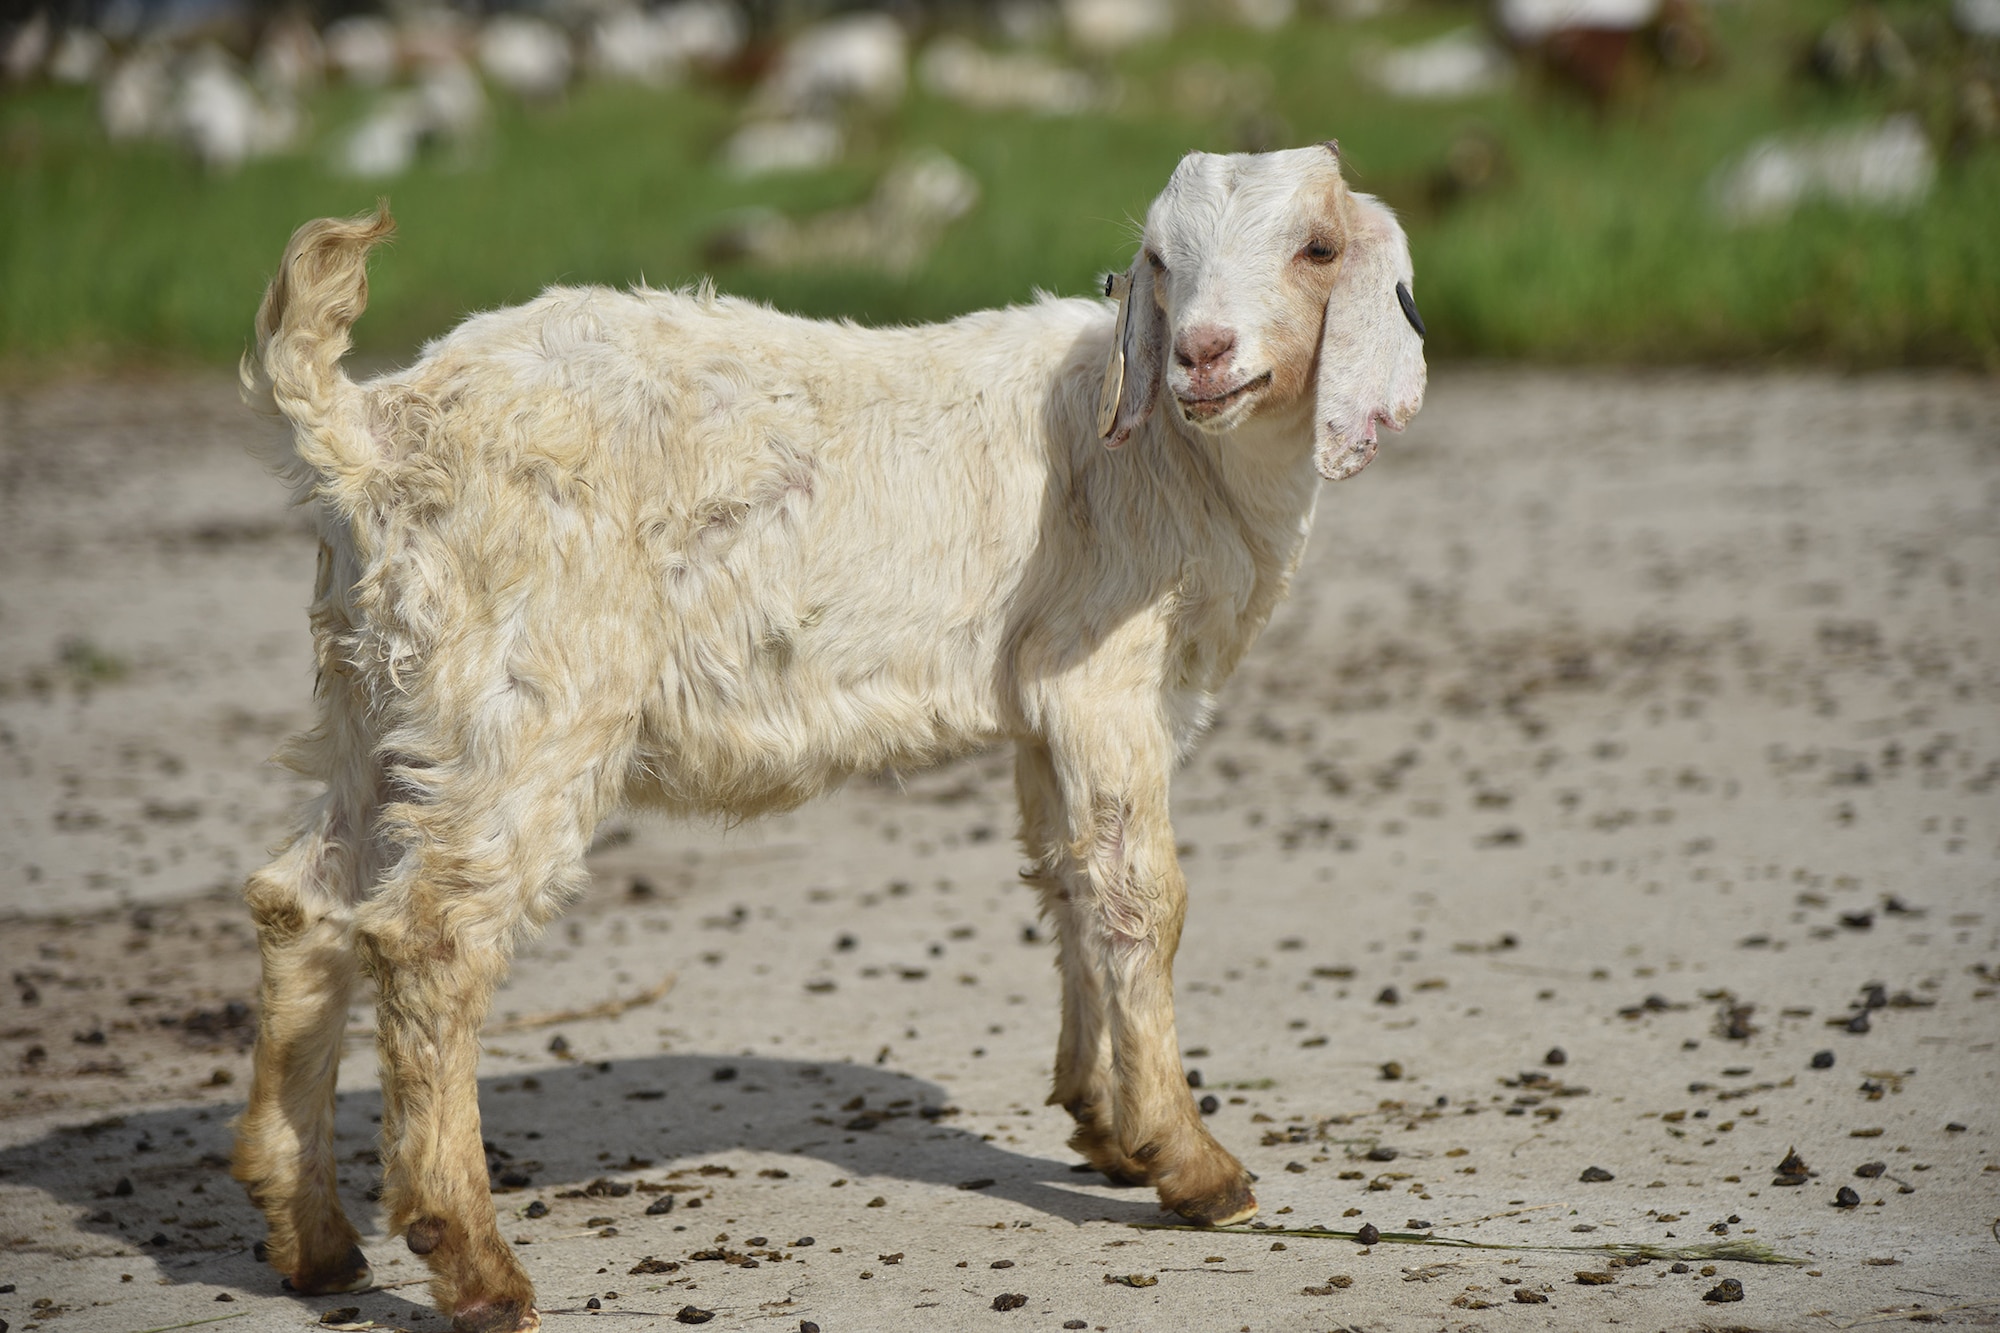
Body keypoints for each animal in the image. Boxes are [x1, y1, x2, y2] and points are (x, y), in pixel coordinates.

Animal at [234, 145, 1424, 1328]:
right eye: (1162, 260)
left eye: (1318, 248)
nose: (1200, 354)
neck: (1181, 455)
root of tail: (367, 435)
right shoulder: (1105, 677)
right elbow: (1143, 898)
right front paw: (1192, 1163)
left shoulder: (1046, 703)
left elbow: (1072, 880)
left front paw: (1105, 1121)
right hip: (527, 693)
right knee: (430, 936)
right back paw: (472, 1260)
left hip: (381, 691)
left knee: (305, 901)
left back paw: (313, 1238)